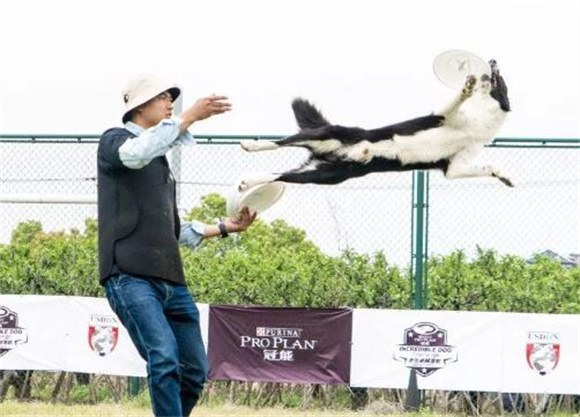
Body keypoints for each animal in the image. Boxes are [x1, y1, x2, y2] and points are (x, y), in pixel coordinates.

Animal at [239, 58, 512, 188]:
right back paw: (250, 146)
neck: (479, 120)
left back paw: (247, 182)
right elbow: (457, 99)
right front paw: (467, 87)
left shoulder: (455, 166)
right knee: (281, 142)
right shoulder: (442, 115)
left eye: (501, 79)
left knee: (278, 176)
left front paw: (504, 176)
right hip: (327, 134)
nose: (493, 60)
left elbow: (486, 167)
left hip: (323, 175)